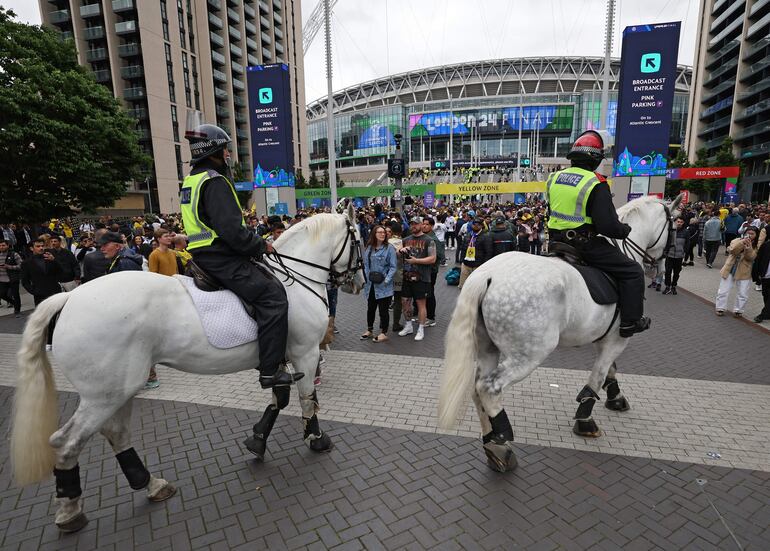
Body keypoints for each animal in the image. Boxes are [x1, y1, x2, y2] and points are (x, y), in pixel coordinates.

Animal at [9, 206, 364, 532]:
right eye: (359, 239)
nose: (358, 283)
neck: (296, 280)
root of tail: (69, 299)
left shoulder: (280, 359)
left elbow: (279, 398)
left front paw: (257, 440)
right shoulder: (304, 354)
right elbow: (308, 400)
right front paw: (317, 439)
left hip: (118, 390)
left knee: (116, 434)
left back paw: (151, 485)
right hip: (105, 395)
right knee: (67, 442)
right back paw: (71, 510)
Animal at [436, 196, 680, 472]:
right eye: (673, 226)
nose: (660, 267)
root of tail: (487, 276)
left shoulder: (604, 337)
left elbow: (611, 370)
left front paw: (615, 397)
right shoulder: (617, 339)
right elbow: (598, 376)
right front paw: (586, 419)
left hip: (489, 349)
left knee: (478, 390)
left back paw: (494, 445)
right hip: (528, 355)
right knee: (489, 389)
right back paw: (503, 436)